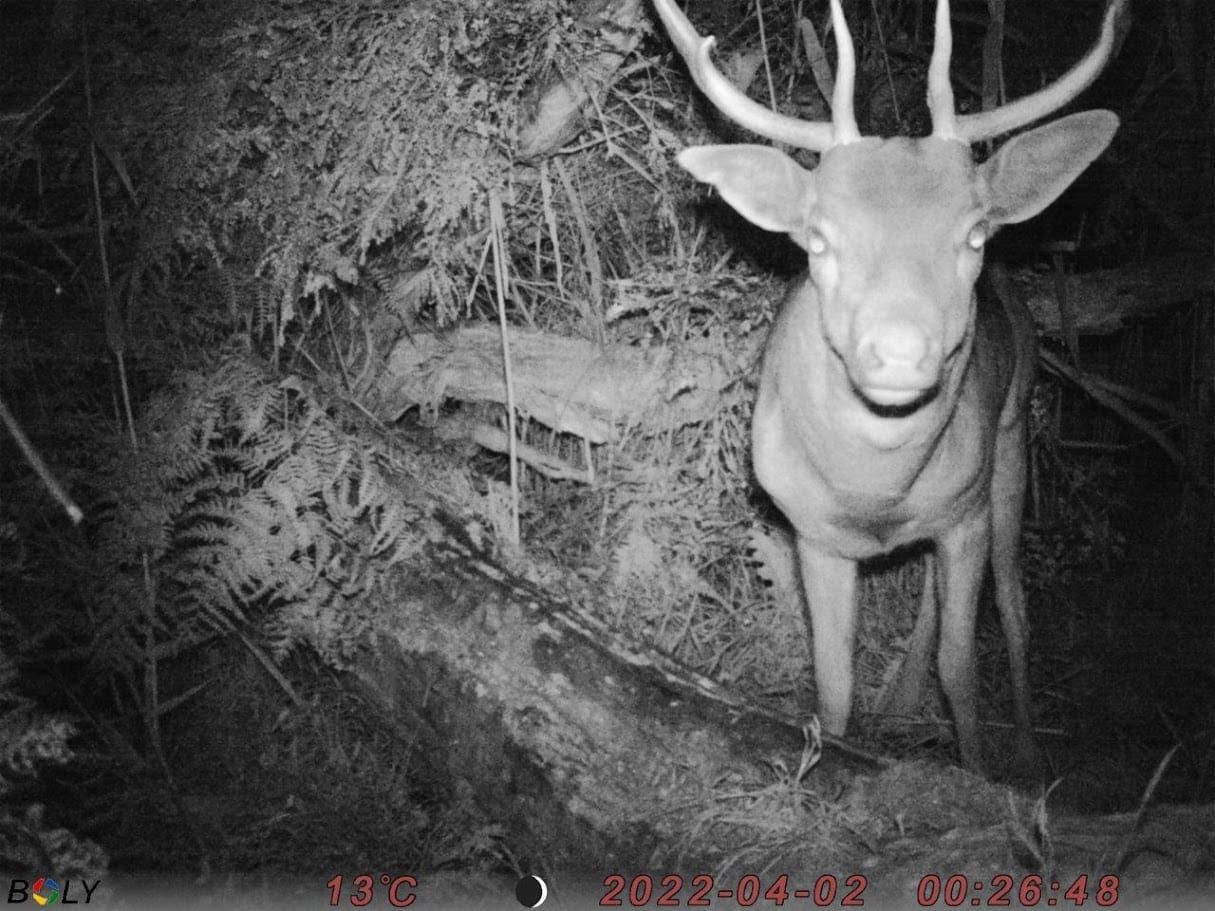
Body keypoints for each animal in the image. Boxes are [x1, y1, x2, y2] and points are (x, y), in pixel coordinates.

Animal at [651, 0, 1126, 774]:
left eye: (974, 234)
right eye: (818, 237)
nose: (900, 353)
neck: (875, 496)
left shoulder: (963, 514)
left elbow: (961, 668)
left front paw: (977, 771)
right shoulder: (810, 531)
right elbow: (833, 679)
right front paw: (836, 758)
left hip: (1010, 442)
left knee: (1014, 604)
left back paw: (1026, 751)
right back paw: (902, 707)